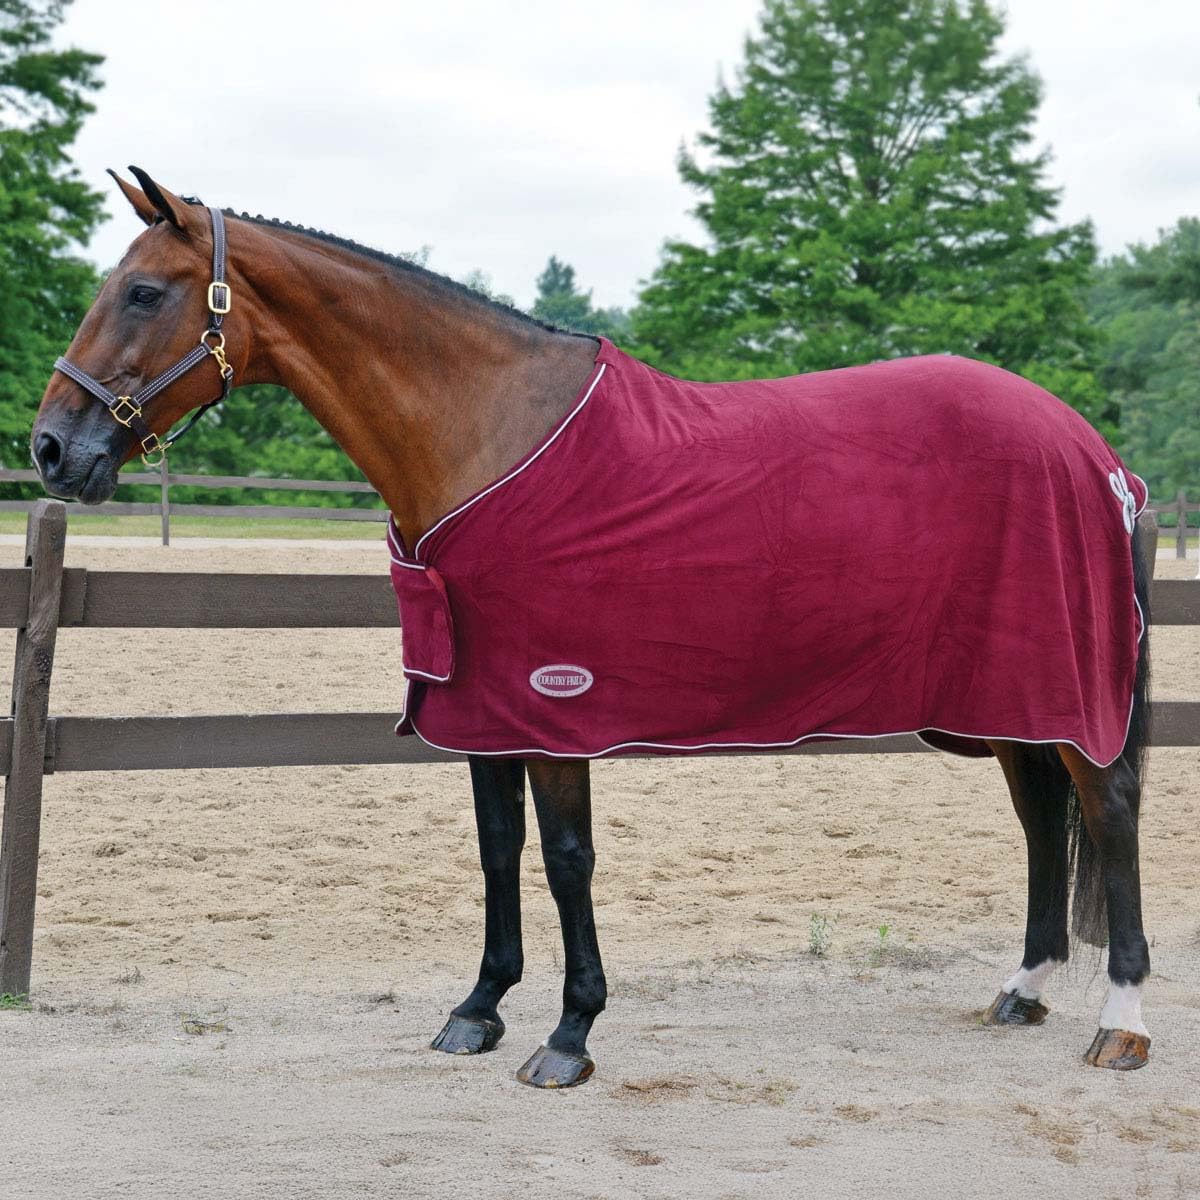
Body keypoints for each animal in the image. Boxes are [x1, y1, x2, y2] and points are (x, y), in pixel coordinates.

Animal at [32, 168, 1153, 1088]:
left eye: (144, 292)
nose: (49, 448)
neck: (487, 433)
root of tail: (1093, 453)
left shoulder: (555, 703)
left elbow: (568, 857)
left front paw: (569, 1035)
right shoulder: (481, 707)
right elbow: (498, 850)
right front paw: (477, 1011)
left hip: (1069, 690)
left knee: (1107, 810)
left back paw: (1123, 1022)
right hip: (1010, 696)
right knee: (1038, 816)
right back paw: (1024, 989)